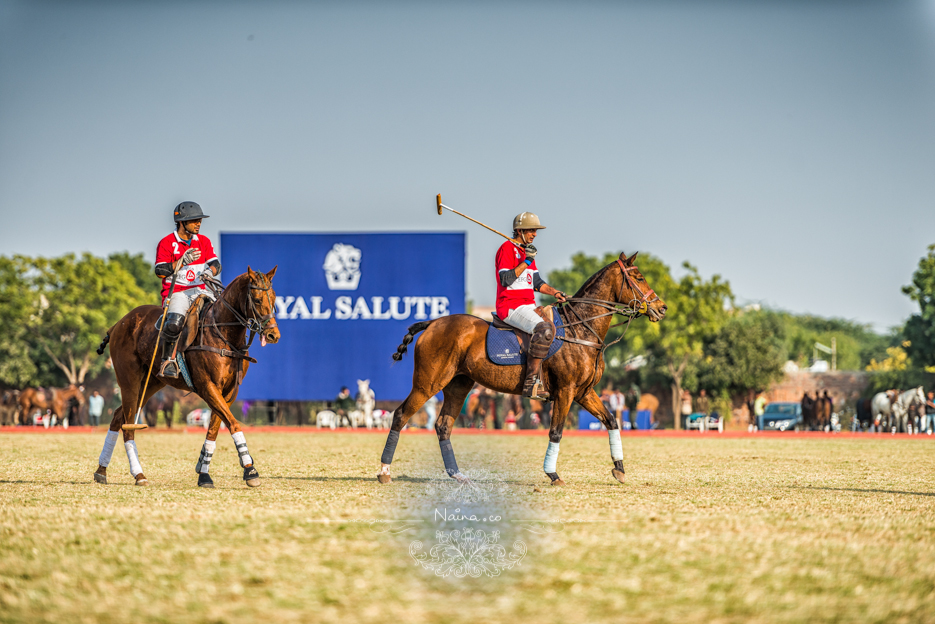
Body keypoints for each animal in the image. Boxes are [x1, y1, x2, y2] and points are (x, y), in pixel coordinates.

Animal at [93, 268, 280, 488]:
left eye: (274, 298)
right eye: (257, 299)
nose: (273, 335)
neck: (223, 334)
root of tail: (117, 325)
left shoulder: (229, 392)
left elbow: (214, 429)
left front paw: (204, 473)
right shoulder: (207, 386)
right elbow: (233, 423)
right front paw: (250, 470)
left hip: (151, 383)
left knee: (117, 417)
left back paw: (101, 471)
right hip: (129, 379)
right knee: (129, 425)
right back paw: (139, 475)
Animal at [378, 251, 664, 486]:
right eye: (638, 277)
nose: (662, 308)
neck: (581, 330)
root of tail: (432, 323)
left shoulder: (583, 392)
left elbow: (611, 419)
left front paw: (619, 469)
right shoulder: (565, 391)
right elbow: (556, 431)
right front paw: (553, 474)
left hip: (458, 385)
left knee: (443, 425)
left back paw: (457, 475)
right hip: (427, 382)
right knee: (400, 415)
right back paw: (384, 472)